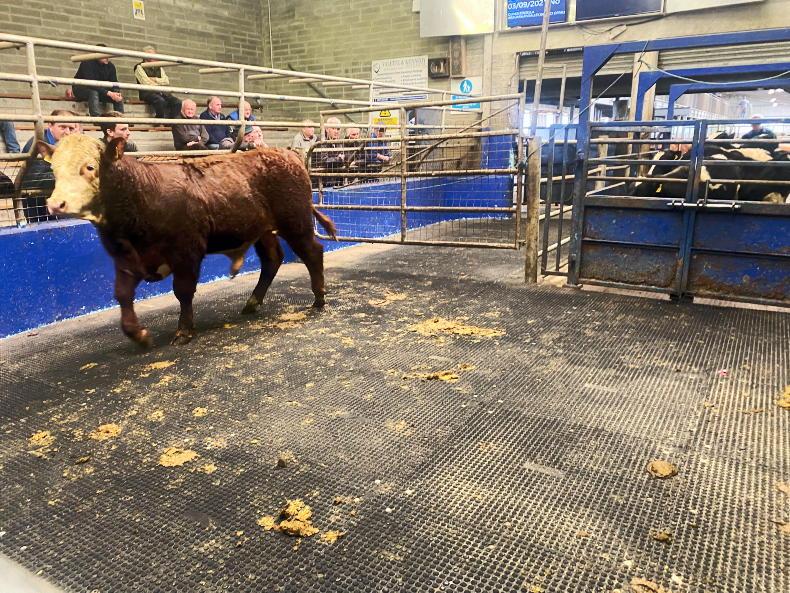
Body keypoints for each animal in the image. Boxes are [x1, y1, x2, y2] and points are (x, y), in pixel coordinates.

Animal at [40, 134, 337, 347]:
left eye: (90, 167)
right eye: (54, 170)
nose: (55, 204)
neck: (141, 193)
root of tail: (285, 154)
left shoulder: (186, 251)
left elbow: (182, 290)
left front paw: (184, 331)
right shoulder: (125, 259)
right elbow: (122, 295)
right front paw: (139, 335)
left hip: (295, 222)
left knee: (313, 252)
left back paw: (319, 297)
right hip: (263, 231)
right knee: (272, 260)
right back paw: (252, 303)